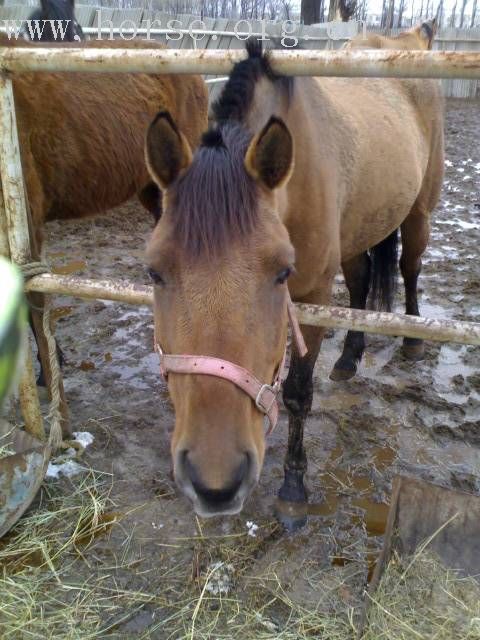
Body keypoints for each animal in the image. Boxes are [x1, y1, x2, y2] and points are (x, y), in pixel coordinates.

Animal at [142, 28, 442, 524]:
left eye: (282, 273)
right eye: (153, 272)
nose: (215, 483)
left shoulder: (312, 296)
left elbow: (299, 393)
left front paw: (293, 488)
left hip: (419, 211)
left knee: (410, 267)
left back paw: (413, 339)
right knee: (360, 282)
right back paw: (349, 358)